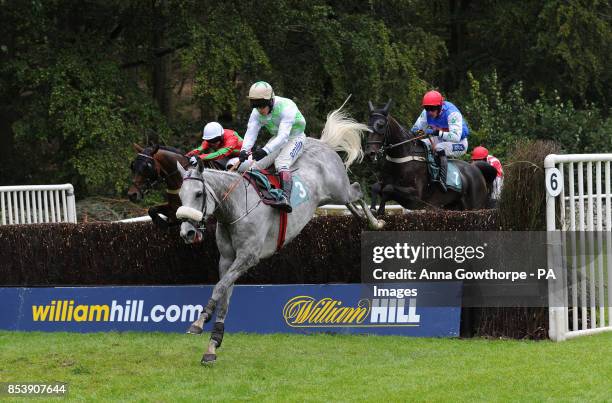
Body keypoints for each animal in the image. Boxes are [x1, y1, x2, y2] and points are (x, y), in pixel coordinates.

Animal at [173, 109, 382, 366]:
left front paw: (198, 321)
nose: (187, 232)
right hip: (331, 196)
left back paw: (375, 222)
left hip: (339, 189)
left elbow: (219, 287)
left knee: (358, 190)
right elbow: (224, 295)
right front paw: (212, 346)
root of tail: (321, 143)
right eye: (180, 196)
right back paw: (360, 217)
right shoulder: (227, 259)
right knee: (352, 200)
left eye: (198, 194)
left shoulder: (248, 257)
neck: (235, 207)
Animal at [366, 100, 494, 215]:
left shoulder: (415, 197)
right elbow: (376, 187)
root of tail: (476, 169)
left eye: (381, 125)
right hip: (453, 206)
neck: (402, 157)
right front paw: (373, 209)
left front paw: (380, 210)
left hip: (475, 206)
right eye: (367, 126)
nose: (369, 153)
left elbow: (388, 188)